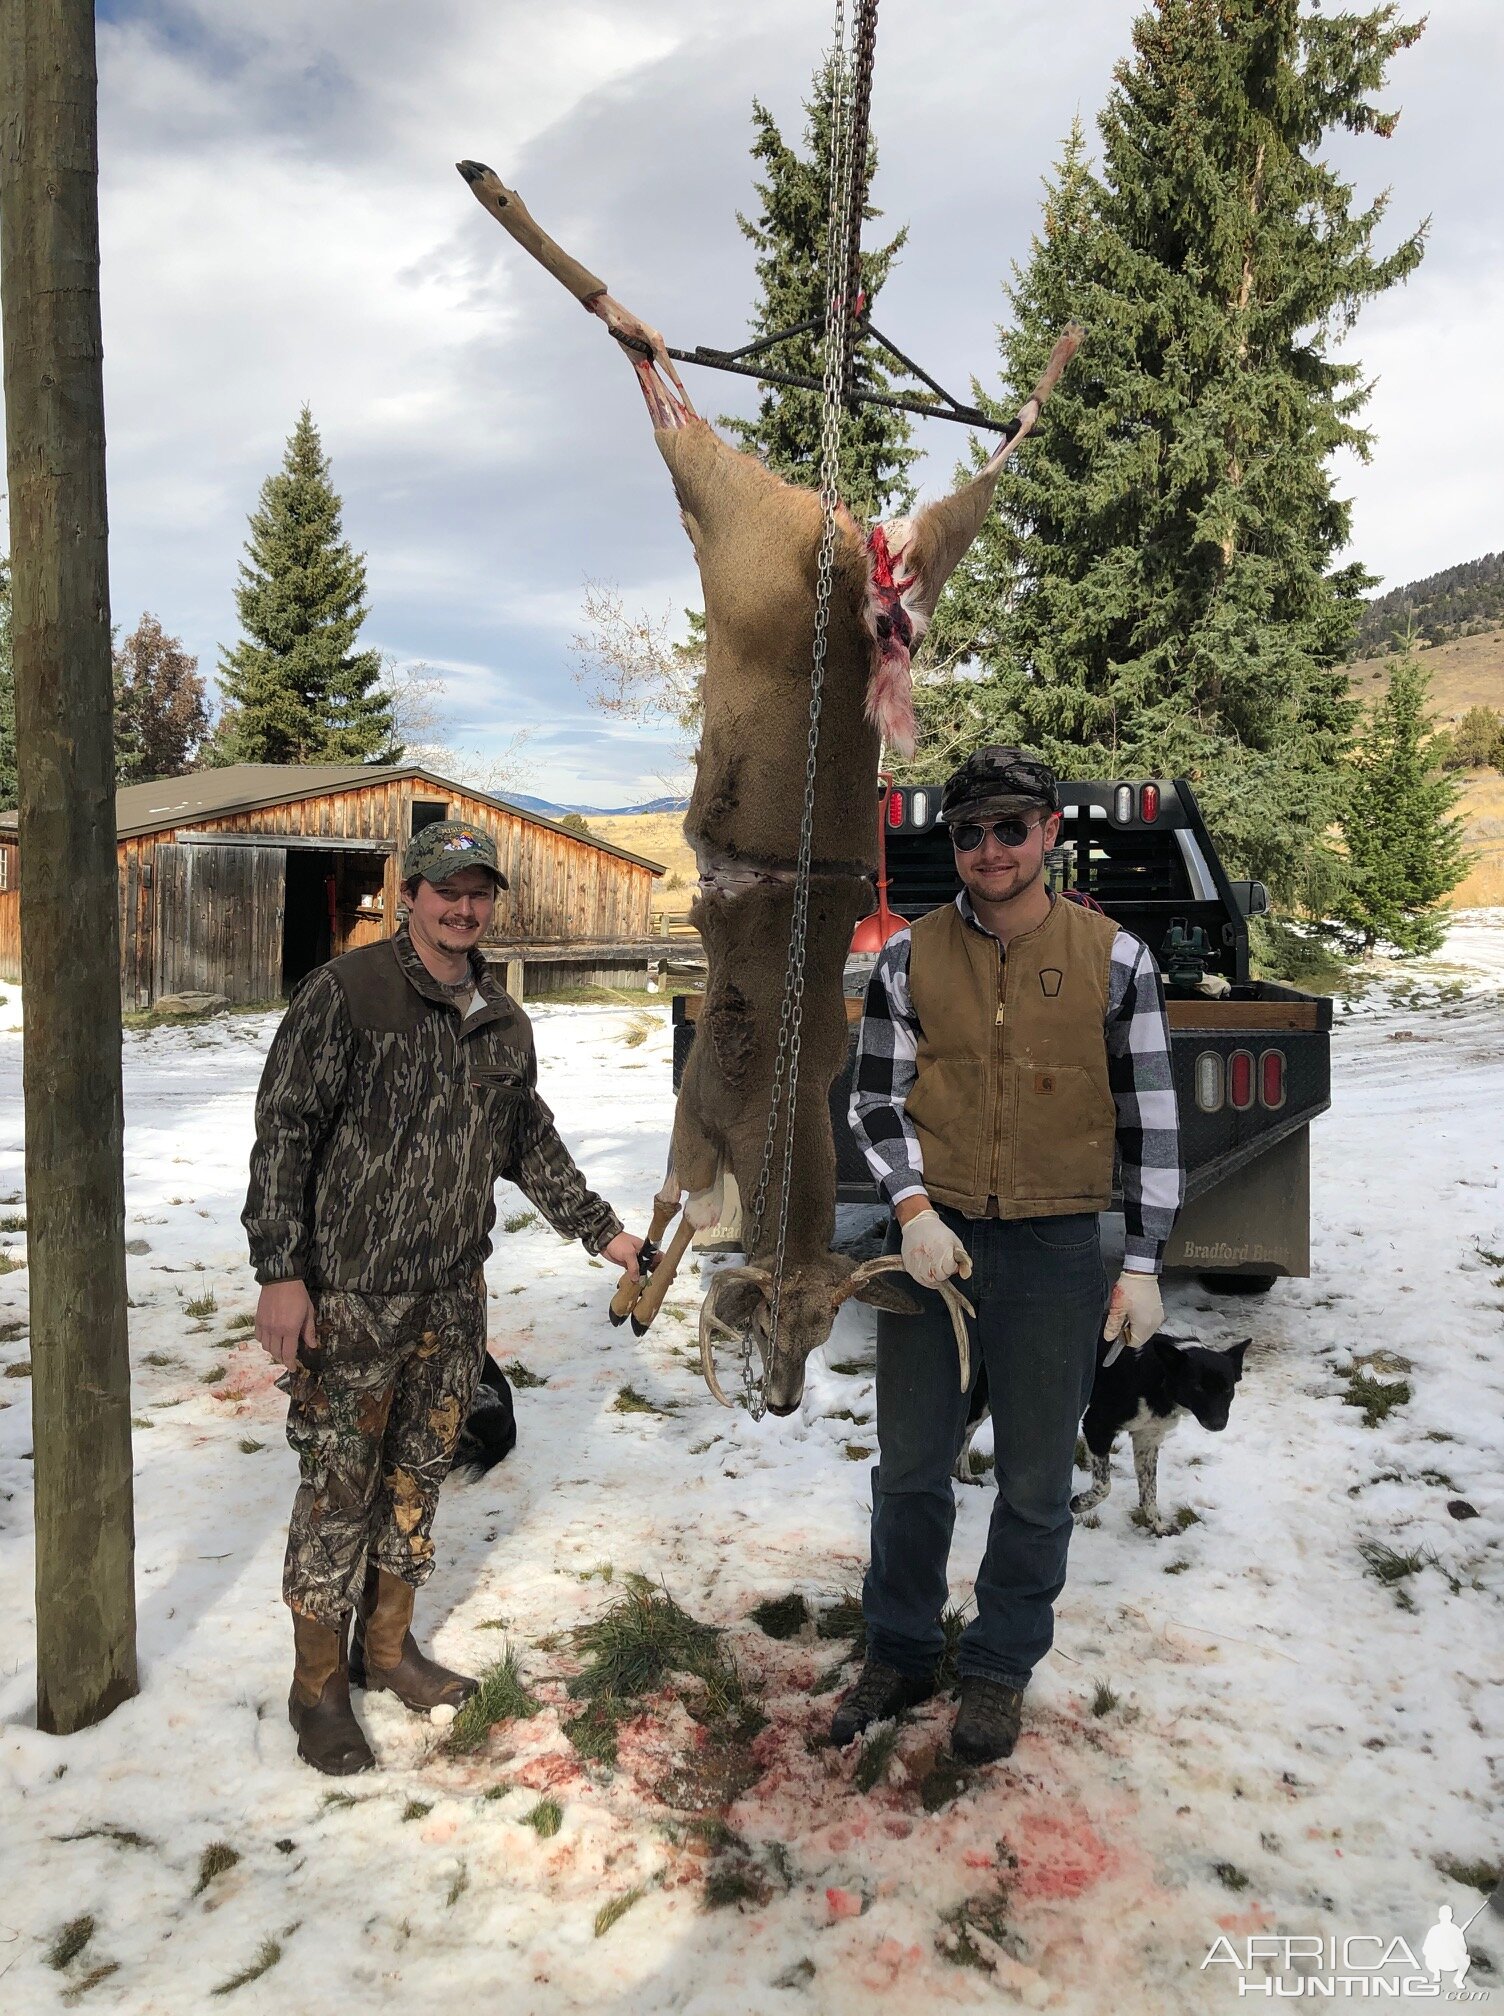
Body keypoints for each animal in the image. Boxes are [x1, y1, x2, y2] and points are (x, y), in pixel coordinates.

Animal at [459, 165, 1080, 1411]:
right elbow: (668, 1205)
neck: (772, 1107)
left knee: (968, 467)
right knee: (666, 386)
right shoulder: (696, 1107)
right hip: (740, 519)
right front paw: (629, 1290)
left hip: (838, 538)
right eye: (763, 1327)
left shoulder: (704, 1120)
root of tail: (850, 550)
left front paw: (635, 1294)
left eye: (821, 1322)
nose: (787, 1398)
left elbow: (687, 1218)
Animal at [955, 1330, 1249, 1532]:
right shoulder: (1097, 1426)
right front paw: (1078, 1503)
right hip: (984, 1396)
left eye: (1227, 1389)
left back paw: (964, 1474)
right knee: (965, 1430)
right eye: (1197, 1387)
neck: (1157, 1375)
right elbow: (1104, 1486)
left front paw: (1157, 1526)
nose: (1218, 1424)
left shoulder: (1148, 1438)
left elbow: (1149, 1490)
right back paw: (962, 1474)